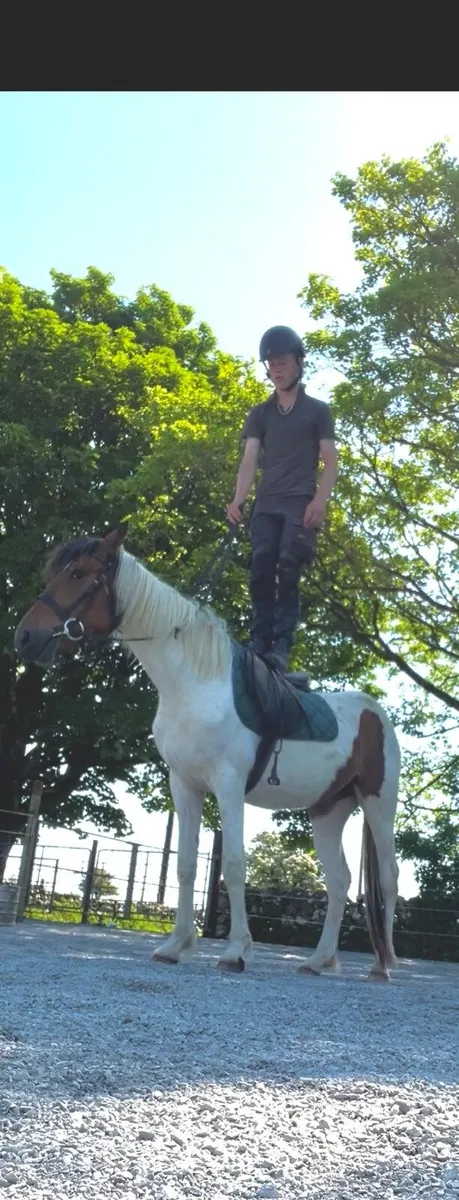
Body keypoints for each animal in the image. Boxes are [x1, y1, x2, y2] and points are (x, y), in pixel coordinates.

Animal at [15, 525, 401, 980]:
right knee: (339, 881)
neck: (194, 684)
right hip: (328, 810)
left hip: (378, 803)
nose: (25, 637)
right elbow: (184, 865)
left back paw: (383, 965)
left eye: (77, 574)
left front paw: (236, 950)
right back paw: (318, 960)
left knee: (389, 878)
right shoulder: (184, 785)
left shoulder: (228, 787)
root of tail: (376, 713)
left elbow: (233, 865)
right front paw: (176, 945)